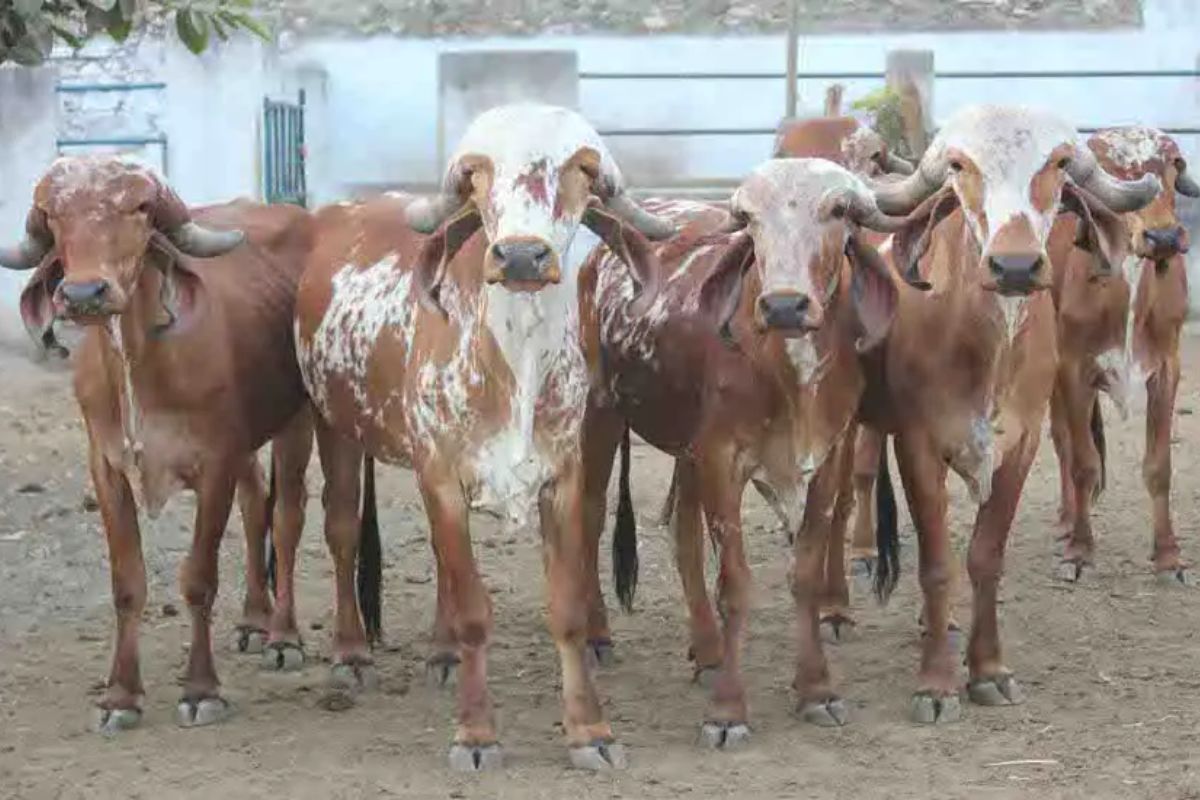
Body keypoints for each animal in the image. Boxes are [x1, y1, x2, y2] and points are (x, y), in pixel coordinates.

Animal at [0, 157, 316, 733]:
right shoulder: (108, 468)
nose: (84, 295)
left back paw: (282, 636)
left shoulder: (215, 462)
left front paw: (201, 690)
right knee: (255, 504)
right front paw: (121, 697)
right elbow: (127, 583)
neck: (141, 363)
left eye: (140, 208)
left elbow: (199, 578)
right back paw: (253, 621)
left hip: (297, 420)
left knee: (286, 517)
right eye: (54, 215)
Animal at [294, 103, 674, 771]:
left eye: (581, 169)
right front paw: (475, 734)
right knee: (341, 531)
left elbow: (567, 608)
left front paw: (590, 731)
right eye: (476, 173)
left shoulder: (562, 478)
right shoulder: (441, 475)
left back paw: (440, 652)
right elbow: (475, 610)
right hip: (333, 423)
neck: (514, 362)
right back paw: (351, 654)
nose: (521, 257)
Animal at [580, 157, 910, 746]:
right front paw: (728, 712)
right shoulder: (721, 458)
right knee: (590, 516)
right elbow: (734, 583)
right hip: (601, 415)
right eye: (750, 220)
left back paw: (708, 650)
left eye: (838, 210)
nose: (783, 305)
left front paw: (816, 689)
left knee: (682, 535)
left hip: (684, 446)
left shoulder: (827, 459)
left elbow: (805, 574)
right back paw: (598, 637)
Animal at [822, 105, 1160, 723]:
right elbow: (936, 563)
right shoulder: (917, 443)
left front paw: (986, 671)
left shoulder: (1020, 444)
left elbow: (984, 556)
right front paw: (935, 684)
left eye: (1057, 163)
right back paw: (834, 608)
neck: (987, 345)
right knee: (835, 508)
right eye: (960, 165)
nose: (1015, 265)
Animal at [1048, 126, 1200, 582]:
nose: (1164, 238)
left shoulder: (1167, 369)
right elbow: (1083, 463)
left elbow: (1159, 467)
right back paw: (1067, 521)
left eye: (1174, 163)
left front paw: (1168, 555)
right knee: (1063, 442)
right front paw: (1080, 551)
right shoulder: (1073, 369)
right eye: (1112, 168)